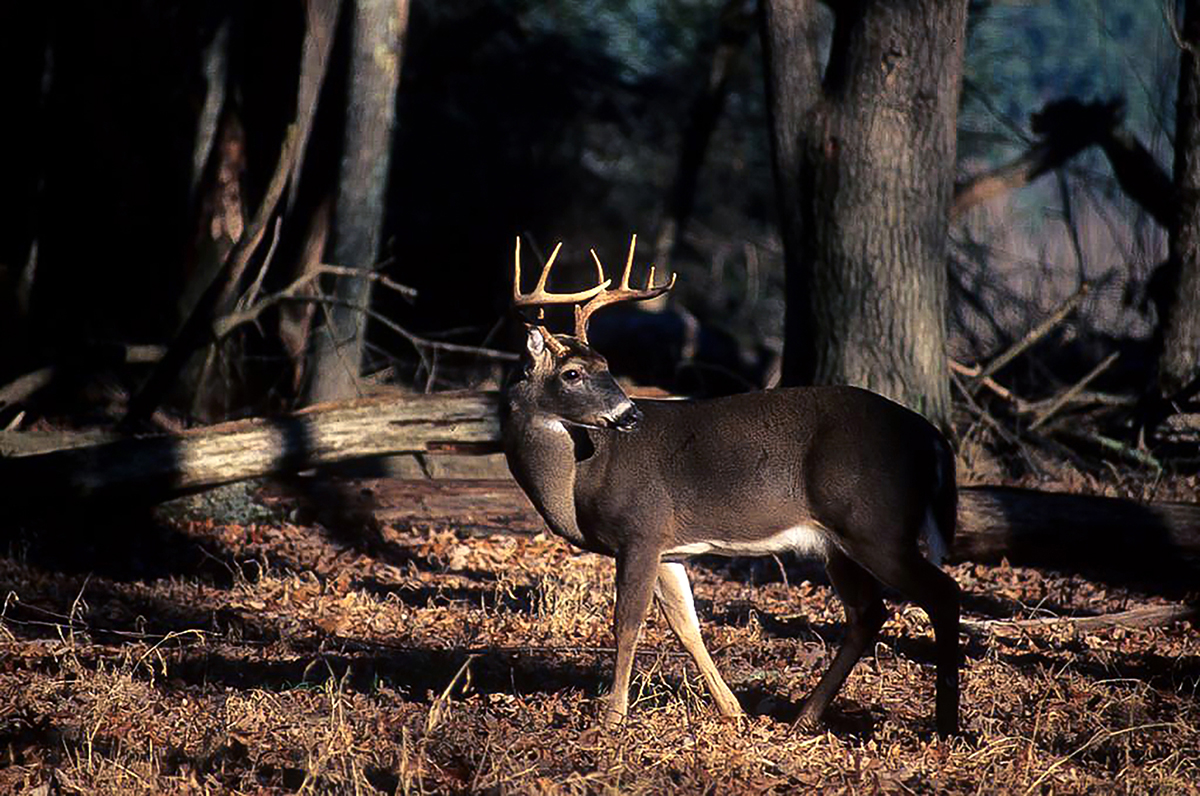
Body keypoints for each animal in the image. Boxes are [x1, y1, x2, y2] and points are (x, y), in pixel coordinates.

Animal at [502, 235, 962, 737]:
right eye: (573, 373)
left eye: (606, 365)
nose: (629, 414)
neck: (576, 478)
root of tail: (932, 437)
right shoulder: (667, 546)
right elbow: (686, 625)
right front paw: (732, 709)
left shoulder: (640, 529)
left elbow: (627, 622)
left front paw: (611, 717)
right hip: (838, 541)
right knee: (869, 612)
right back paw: (804, 716)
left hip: (876, 525)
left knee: (942, 593)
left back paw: (945, 724)